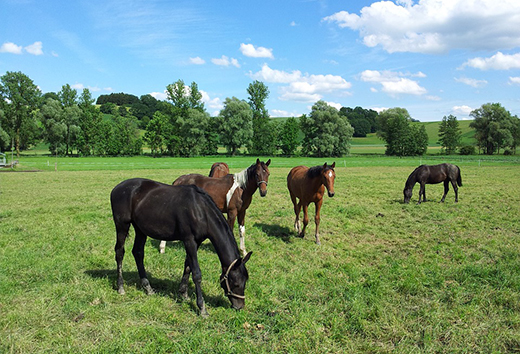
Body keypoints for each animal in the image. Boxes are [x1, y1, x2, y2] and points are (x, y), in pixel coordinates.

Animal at [110, 178, 253, 316]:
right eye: (235, 283)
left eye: (245, 281)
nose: (239, 306)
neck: (200, 210)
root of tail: (116, 188)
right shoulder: (189, 240)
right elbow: (196, 273)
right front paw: (202, 307)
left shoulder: (197, 242)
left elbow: (188, 265)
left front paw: (183, 293)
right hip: (122, 225)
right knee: (119, 252)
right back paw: (120, 287)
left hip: (140, 229)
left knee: (138, 252)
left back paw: (148, 287)